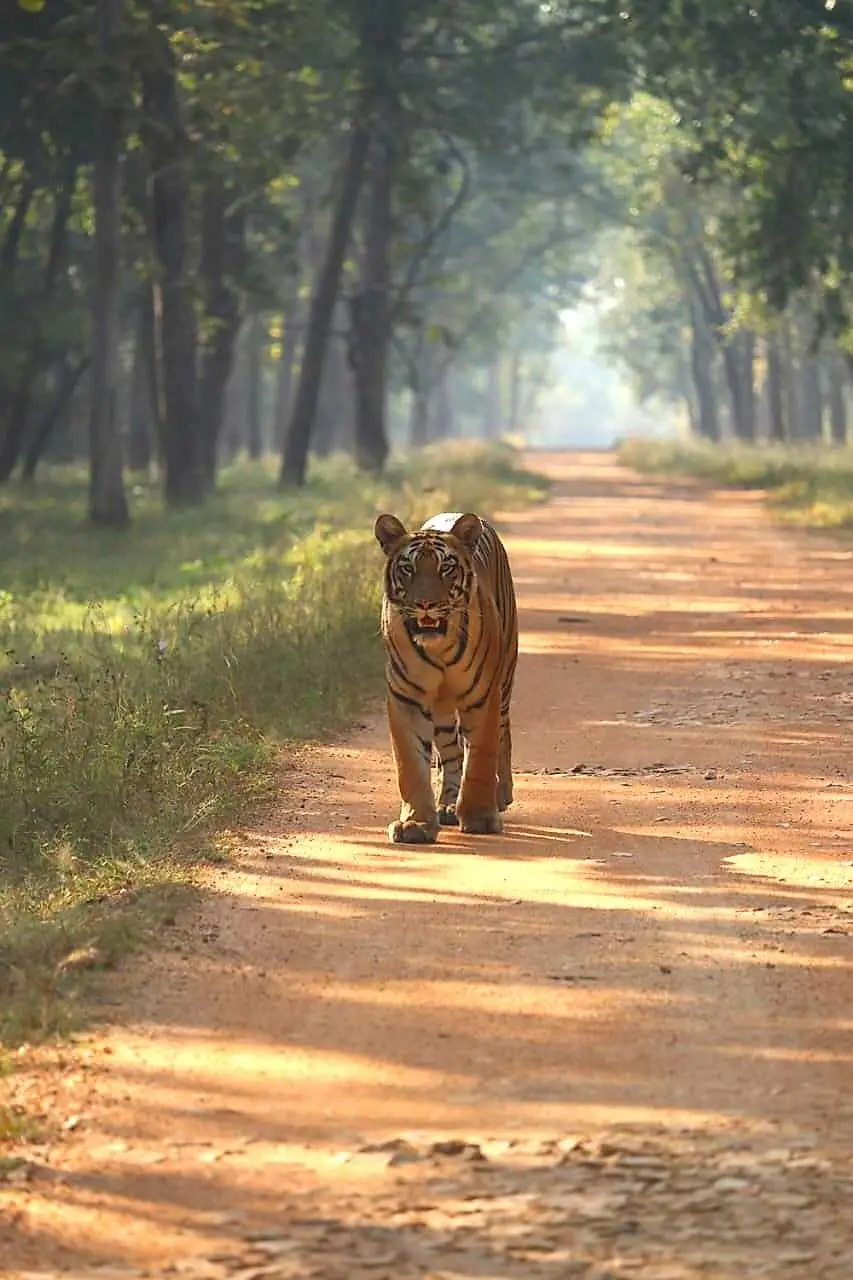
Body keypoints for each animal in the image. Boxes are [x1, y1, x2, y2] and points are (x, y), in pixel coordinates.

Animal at [373, 510, 518, 844]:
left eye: (446, 568)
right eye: (408, 569)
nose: (426, 604)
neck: (438, 648)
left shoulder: (484, 697)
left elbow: (481, 757)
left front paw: (480, 818)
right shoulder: (406, 699)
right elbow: (411, 765)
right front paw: (415, 823)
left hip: (505, 680)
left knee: (503, 735)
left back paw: (501, 794)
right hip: (440, 711)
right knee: (451, 753)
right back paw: (449, 804)